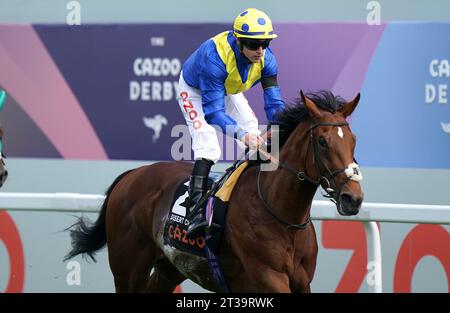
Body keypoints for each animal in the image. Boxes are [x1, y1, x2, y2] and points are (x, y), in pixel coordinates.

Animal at [65, 89, 364, 292]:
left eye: (353, 139)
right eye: (323, 142)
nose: (353, 198)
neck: (281, 214)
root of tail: (132, 174)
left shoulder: (302, 282)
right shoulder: (269, 277)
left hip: (169, 267)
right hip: (127, 269)